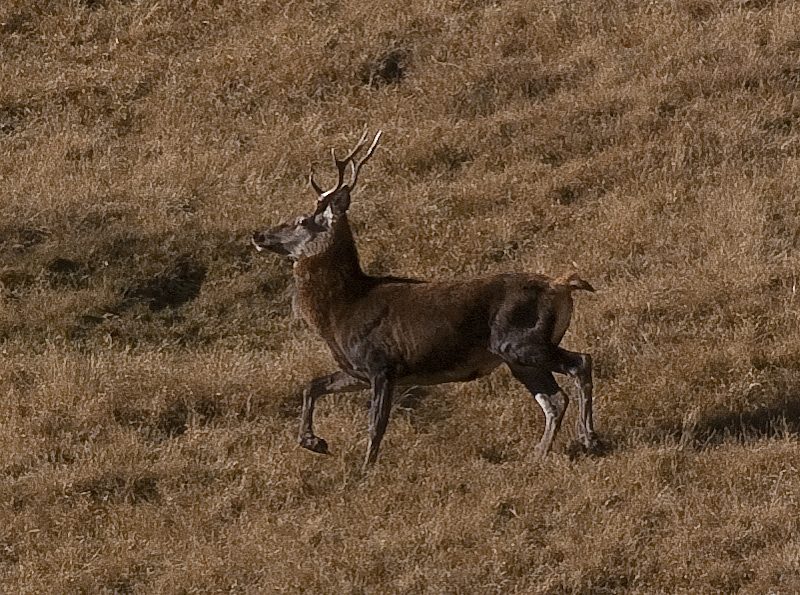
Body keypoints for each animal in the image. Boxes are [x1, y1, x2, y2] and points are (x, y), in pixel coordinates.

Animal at [252, 130, 598, 471]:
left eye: (301, 220)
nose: (258, 235)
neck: (340, 311)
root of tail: (561, 286)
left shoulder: (381, 362)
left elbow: (376, 424)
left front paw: (365, 471)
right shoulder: (357, 369)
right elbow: (313, 385)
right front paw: (315, 442)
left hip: (521, 340)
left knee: (580, 363)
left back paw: (587, 438)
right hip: (517, 357)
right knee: (554, 400)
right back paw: (540, 453)